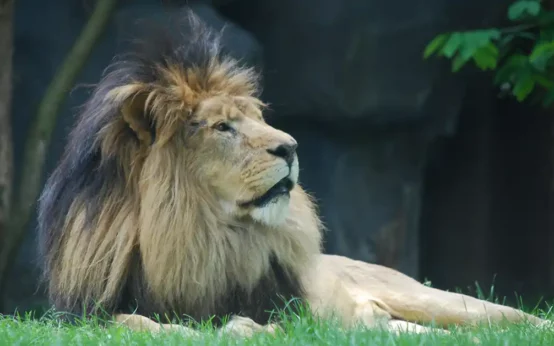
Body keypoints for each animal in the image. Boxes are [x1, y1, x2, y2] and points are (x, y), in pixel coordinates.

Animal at [37, 9, 548, 336]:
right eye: (223, 126)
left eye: (256, 119)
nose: (292, 147)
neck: (199, 233)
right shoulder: (85, 314)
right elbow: (136, 323)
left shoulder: (290, 310)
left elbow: (252, 325)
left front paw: (239, 329)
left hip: (438, 301)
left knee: (515, 318)